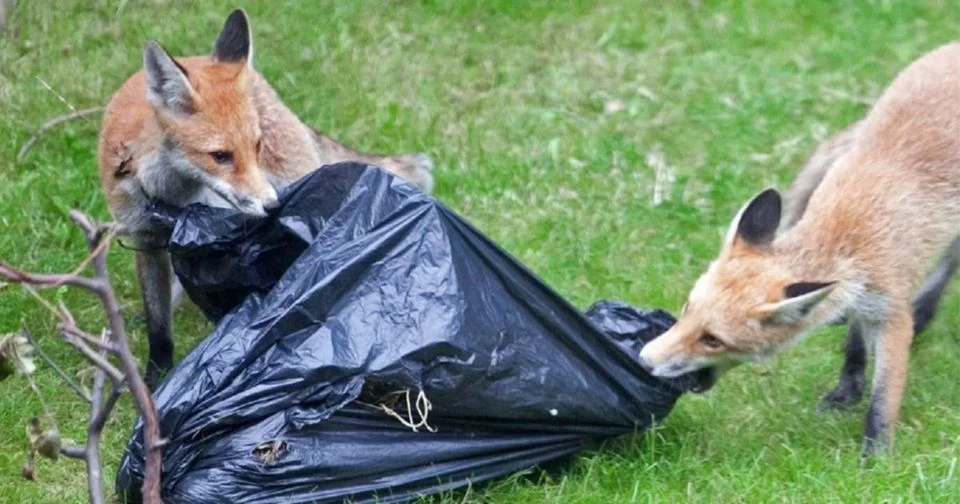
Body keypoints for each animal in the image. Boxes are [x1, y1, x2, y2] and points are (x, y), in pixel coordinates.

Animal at [97, 8, 436, 386]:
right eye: (220, 156)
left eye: (255, 146)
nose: (273, 205)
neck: (173, 199)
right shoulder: (145, 239)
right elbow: (158, 326)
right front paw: (153, 379)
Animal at [636, 41, 960, 454]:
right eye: (686, 309)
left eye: (713, 340)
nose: (644, 361)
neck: (845, 234)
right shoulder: (858, 295)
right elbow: (855, 347)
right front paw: (846, 390)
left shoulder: (890, 309)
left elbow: (884, 396)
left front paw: (875, 454)